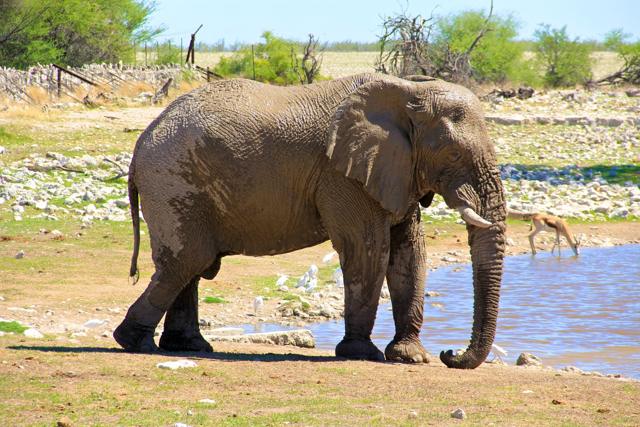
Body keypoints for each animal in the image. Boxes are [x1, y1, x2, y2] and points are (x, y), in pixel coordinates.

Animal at [113, 73, 506, 369]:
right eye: (453, 154)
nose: (449, 352)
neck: (408, 89)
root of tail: (141, 143)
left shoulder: (397, 171)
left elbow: (409, 252)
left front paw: (411, 357)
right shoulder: (341, 174)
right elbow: (367, 248)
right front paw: (362, 354)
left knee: (191, 265)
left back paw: (188, 347)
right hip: (171, 180)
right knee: (186, 260)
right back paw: (134, 341)